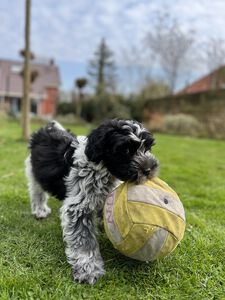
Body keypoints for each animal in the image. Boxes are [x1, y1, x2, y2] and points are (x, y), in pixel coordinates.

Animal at [25, 119, 158, 284]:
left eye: (148, 147)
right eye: (126, 151)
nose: (149, 170)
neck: (102, 168)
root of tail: (46, 129)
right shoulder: (78, 207)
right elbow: (84, 239)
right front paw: (88, 268)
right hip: (34, 172)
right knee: (37, 192)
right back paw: (39, 210)